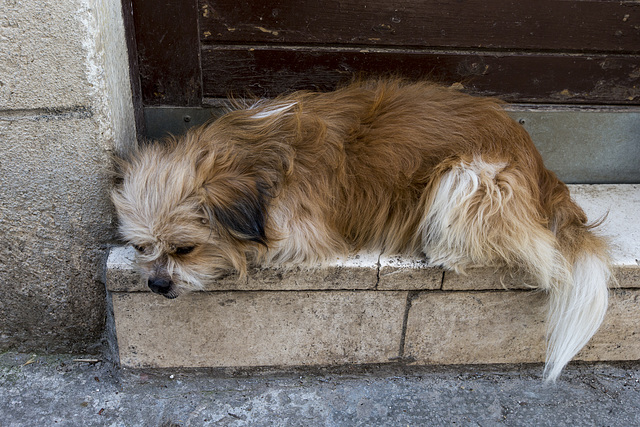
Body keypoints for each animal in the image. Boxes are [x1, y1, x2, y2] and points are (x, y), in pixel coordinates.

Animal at [112, 79, 612, 382]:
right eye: (142, 246)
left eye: (185, 249)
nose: (156, 285)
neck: (254, 161)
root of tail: (540, 168)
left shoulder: (302, 229)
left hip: (468, 177)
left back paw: (448, 250)